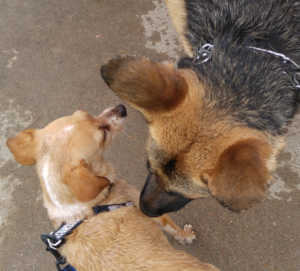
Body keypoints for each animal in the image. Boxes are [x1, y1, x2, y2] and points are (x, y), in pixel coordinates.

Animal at [6, 105, 218, 271]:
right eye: (102, 135)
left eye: (84, 112)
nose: (122, 108)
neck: (86, 210)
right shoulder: (147, 208)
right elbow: (173, 228)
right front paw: (187, 236)